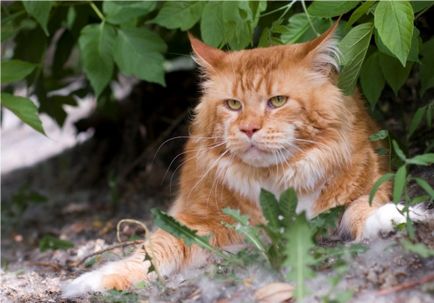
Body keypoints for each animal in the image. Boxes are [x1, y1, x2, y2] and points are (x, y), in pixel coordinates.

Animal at [65, 25, 406, 296]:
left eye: (277, 101)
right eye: (233, 105)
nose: (249, 128)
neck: (275, 183)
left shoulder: (365, 187)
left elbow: (362, 209)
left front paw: (391, 218)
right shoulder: (197, 220)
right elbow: (154, 249)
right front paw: (95, 280)